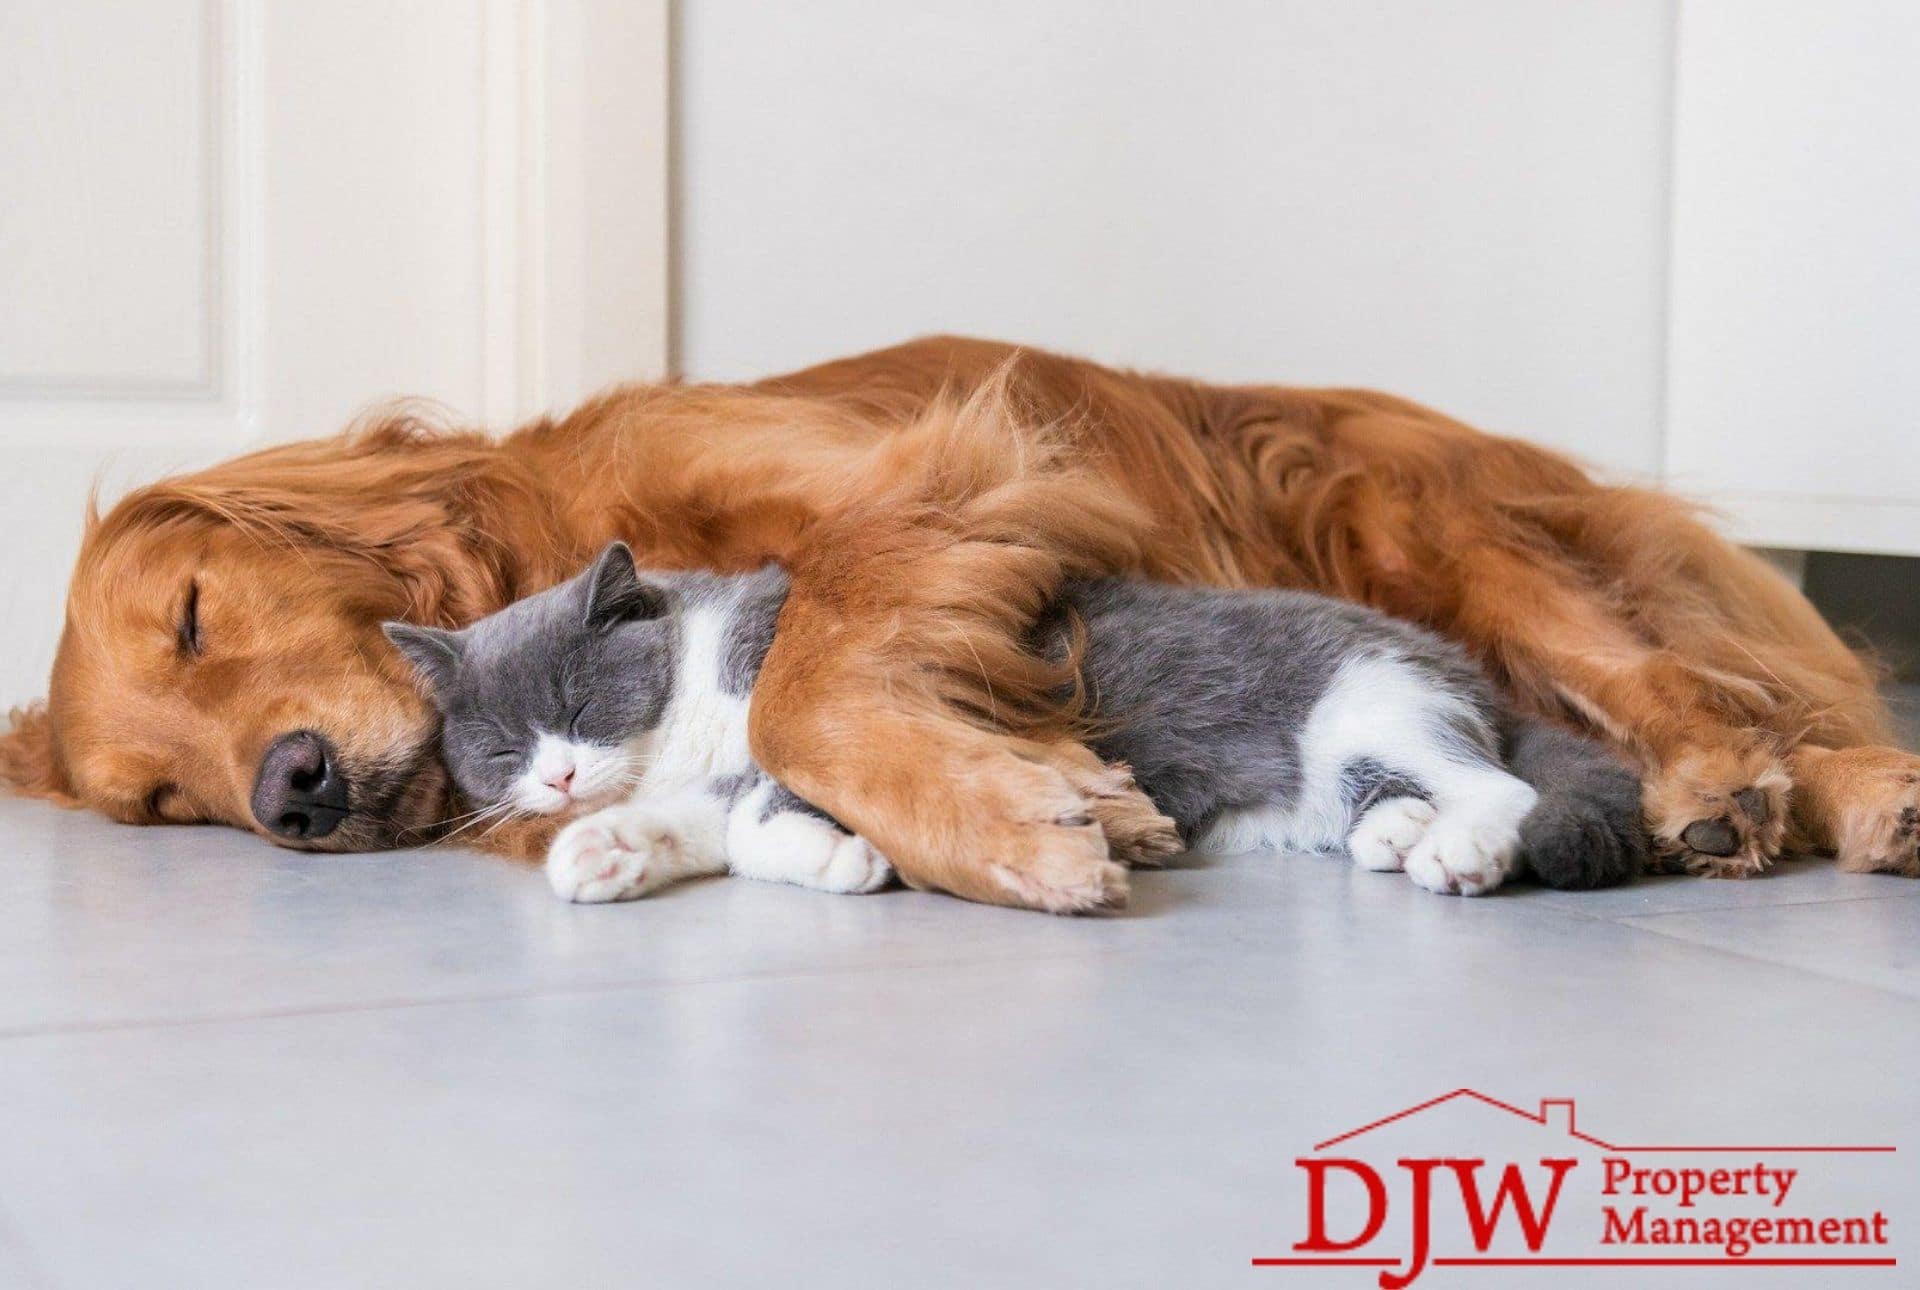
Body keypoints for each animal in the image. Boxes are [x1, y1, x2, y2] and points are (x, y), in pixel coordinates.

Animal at [382, 545, 1643, 906]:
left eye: (577, 706)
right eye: (499, 748)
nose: (553, 781)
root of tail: (1460, 661)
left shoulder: (830, 715)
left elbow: (762, 811)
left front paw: (848, 856)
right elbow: (703, 827)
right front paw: (603, 852)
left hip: (1368, 703)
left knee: (1505, 791)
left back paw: (1458, 850)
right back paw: (1396, 835)